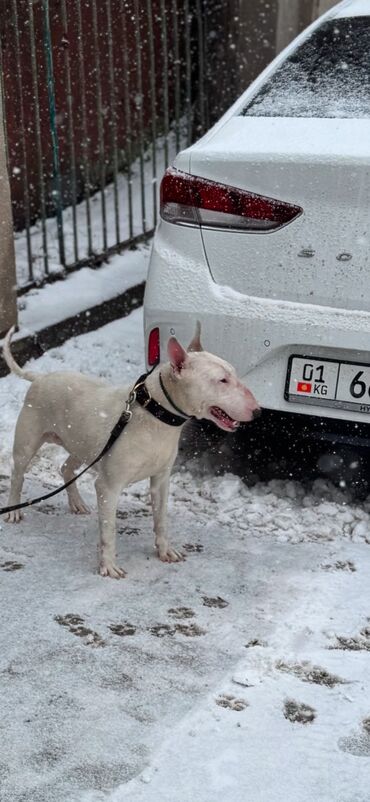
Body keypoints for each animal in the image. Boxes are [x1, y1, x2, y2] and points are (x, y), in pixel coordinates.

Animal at [1, 322, 260, 580]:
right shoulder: (109, 487)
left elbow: (161, 519)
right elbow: (109, 529)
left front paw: (165, 551)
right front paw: (108, 566)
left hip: (84, 445)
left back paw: (77, 503)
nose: (257, 411)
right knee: (18, 473)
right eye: (222, 380)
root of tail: (41, 377)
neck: (155, 414)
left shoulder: (161, 479)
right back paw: (13, 510)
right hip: (29, 439)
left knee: (66, 467)